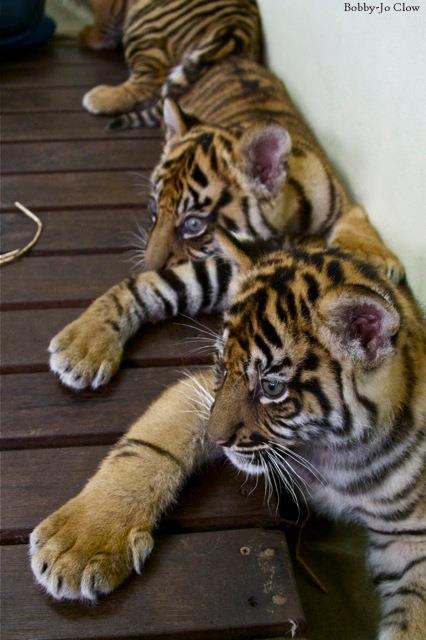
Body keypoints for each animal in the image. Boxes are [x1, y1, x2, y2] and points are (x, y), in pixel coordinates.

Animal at [31, 227, 425, 640]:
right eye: (221, 365)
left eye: (271, 388)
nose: (216, 437)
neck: (328, 450)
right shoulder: (201, 392)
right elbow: (147, 449)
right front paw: (80, 546)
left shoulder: (411, 537)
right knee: (145, 281)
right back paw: (84, 346)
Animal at [49, 56, 403, 391]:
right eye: (152, 207)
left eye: (193, 224)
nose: (148, 266)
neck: (287, 224)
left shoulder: (345, 202)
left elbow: (356, 222)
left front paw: (374, 256)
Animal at [80, 0, 262, 123]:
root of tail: (237, 25)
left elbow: (102, 21)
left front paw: (87, 35)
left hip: (142, 24)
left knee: (147, 84)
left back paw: (98, 98)